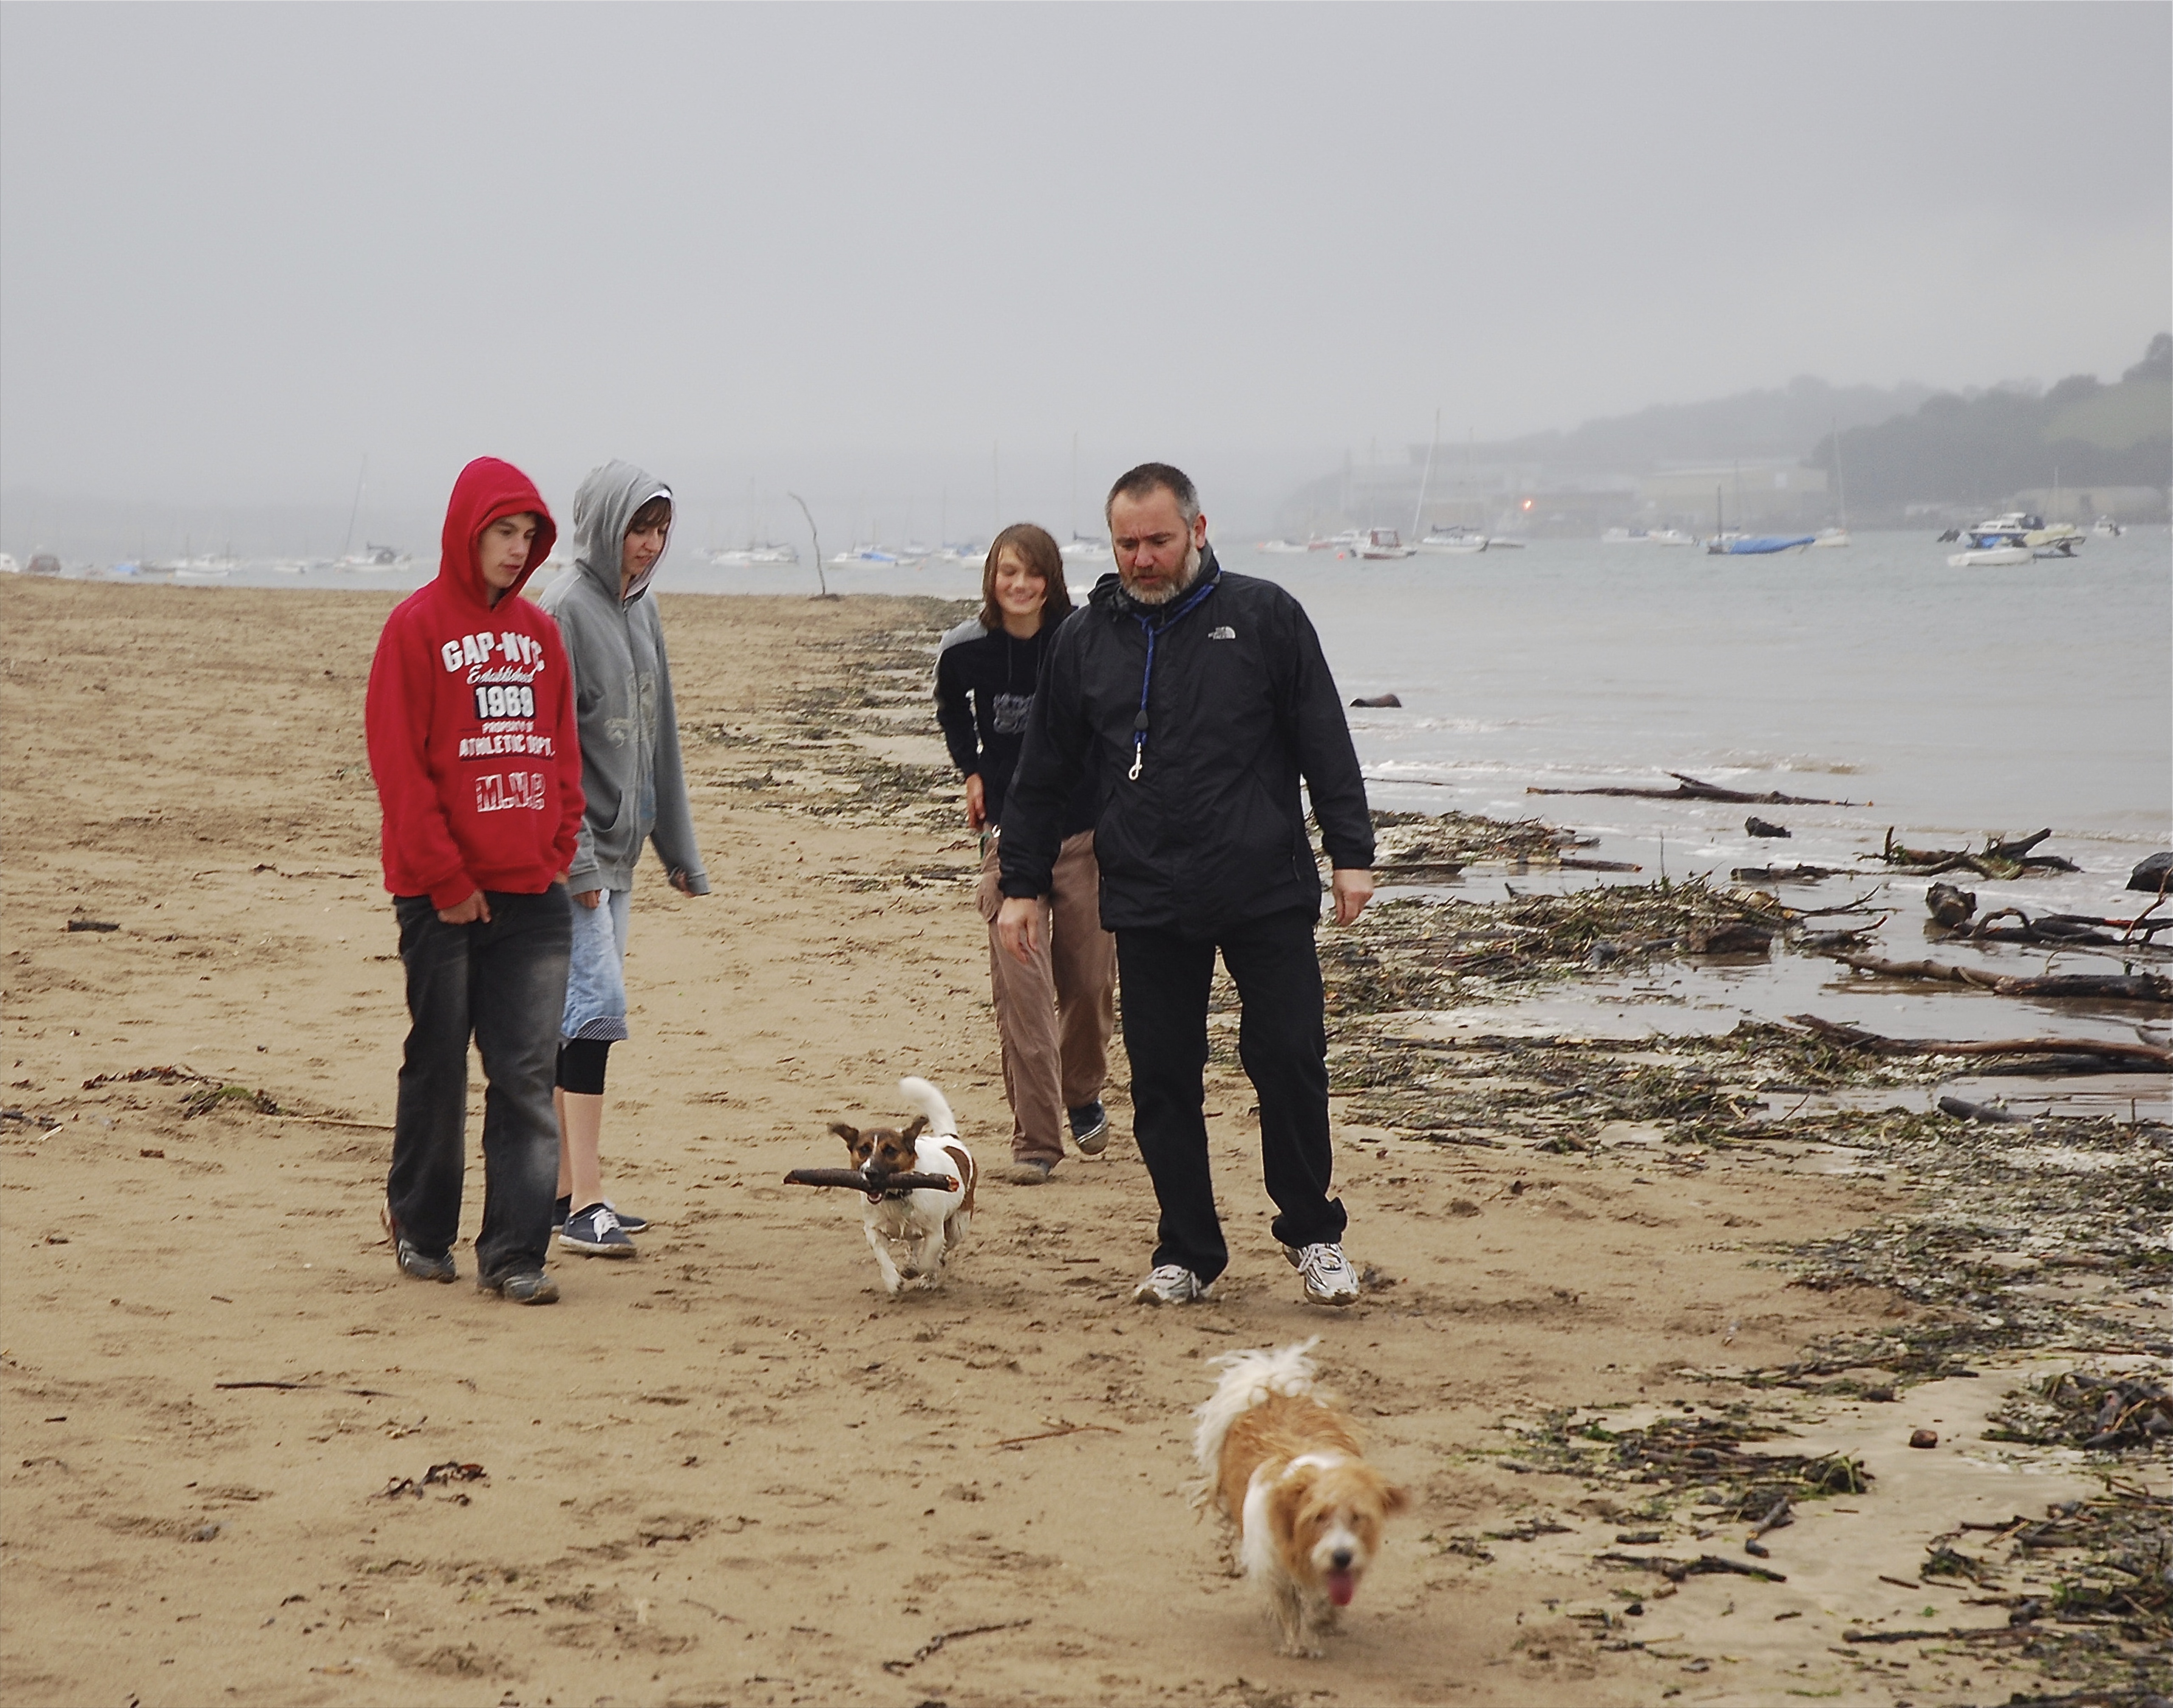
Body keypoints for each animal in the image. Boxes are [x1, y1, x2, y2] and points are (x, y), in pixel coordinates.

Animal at [828, 1077, 976, 1295]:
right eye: (863, 1150)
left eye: (890, 1150)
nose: (870, 1173)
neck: (896, 1195)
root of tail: (949, 1138)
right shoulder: (873, 1230)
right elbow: (883, 1258)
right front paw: (893, 1280)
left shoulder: (935, 1233)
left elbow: (929, 1258)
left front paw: (920, 1272)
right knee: (914, 1244)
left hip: (959, 1224)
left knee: (942, 1250)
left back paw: (928, 1277)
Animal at [1193, 1338, 1409, 1657]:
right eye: (1318, 1517)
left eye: (1358, 1517)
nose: (1342, 1556)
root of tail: (1273, 1390)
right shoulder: (1273, 1563)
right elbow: (1288, 1604)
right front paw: (1296, 1643)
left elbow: (1324, 1601)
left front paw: (1321, 1624)